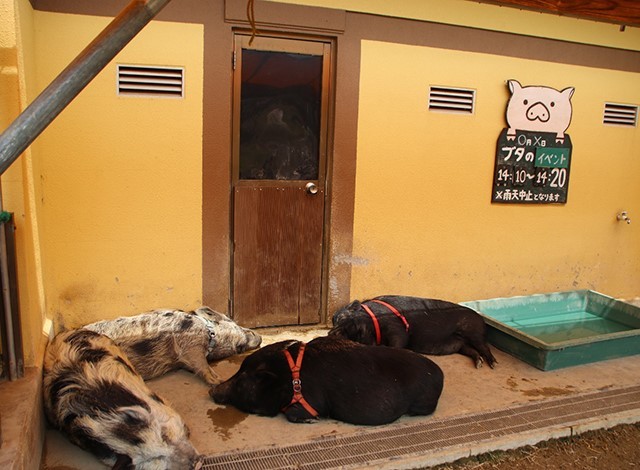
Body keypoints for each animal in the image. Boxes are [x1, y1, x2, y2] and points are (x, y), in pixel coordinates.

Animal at [210, 334, 444, 426]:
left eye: (241, 380)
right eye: (238, 371)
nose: (212, 390)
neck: (287, 376)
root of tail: (440, 374)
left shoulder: (314, 401)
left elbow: (294, 415)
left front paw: (312, 420)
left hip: (422, 403)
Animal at [328, 296, 498, 370]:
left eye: (343, 319)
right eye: (334, 320)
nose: (330, 333)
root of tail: (481, 319)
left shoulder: (397, 329)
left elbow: (398, 343)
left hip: (474, 333)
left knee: (484, 347)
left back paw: (493, 364)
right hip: (461, 344)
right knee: (472, 351)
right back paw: (479, 364)